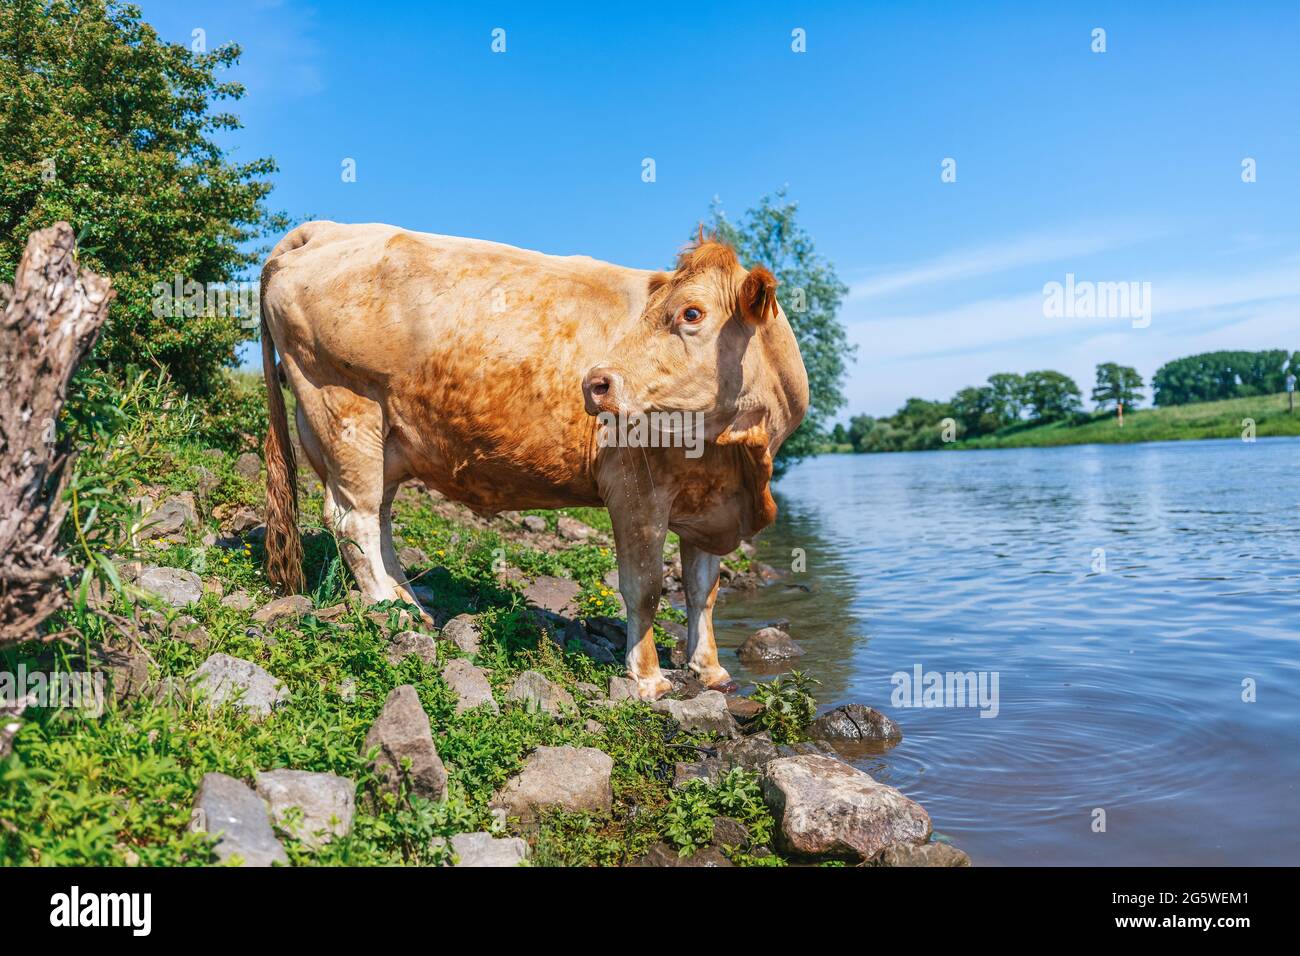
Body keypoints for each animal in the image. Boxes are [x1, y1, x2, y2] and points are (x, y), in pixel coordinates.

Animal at [258, 223, 806, 702]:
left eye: (692, 314)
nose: (595, 382)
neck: (740, 453)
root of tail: (328, 228)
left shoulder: (712, 502)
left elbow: (701, 591)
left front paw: (709, 669)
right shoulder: (636, 485)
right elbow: (646, 587)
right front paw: (648, 678)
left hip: (386, 439)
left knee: (379, 518)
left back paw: (410, 599)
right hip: (345, 410)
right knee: (354, 519)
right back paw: (391, 607)